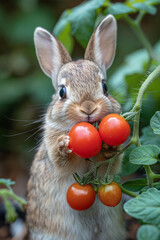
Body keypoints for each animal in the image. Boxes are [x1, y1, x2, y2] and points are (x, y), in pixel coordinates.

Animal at [26, 14, 125, 239]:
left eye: (105, 87)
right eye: (62, 92)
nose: (88, 107)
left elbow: (109, 163)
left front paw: (109, 147)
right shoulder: (55, 158)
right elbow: (62, 162)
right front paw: (64, 145)